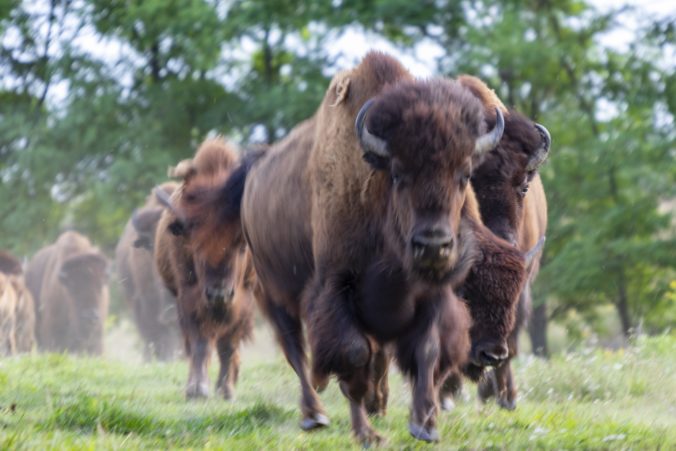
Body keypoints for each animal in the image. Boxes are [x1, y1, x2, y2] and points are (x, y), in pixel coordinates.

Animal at [153, 139, 256, 400]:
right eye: (194, 243)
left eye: (241, 244)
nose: (219, 293)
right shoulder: (189, 296)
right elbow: (200, 341)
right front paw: (197, 389)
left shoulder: (243, 297)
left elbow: (228, 344)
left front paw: (226, 390)